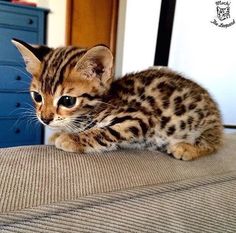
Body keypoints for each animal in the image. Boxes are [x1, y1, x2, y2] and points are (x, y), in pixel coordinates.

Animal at [12, 39, 223, 161]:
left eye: (67, 101)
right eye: (37, 96)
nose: (45, 119)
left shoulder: (139, 117)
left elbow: (104, 132)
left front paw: (71, 138)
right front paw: (61, 133)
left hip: (202, 123)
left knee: (214, 144)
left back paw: (187, 148)